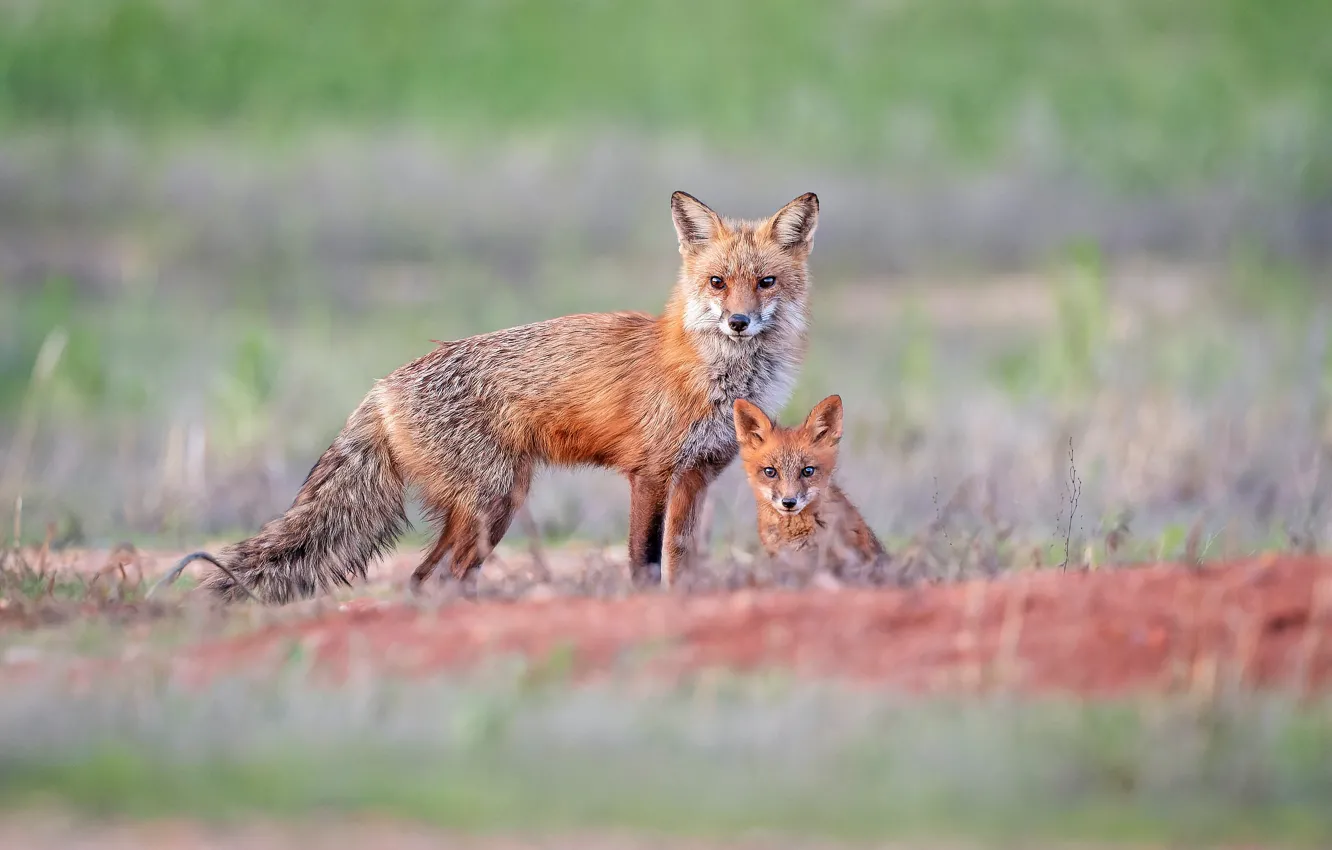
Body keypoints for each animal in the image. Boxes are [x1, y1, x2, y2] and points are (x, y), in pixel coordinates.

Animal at [154, 190, 820, 604]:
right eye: (717, 282)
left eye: (766, 282)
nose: (739, 322)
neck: (716, 378)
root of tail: (383, 385)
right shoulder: (651, 473)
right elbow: (645, 561)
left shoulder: (698, 476)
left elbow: (682, 560)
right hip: (493, 504)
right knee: (437, 577)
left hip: (488, 510)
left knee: (424, 578)